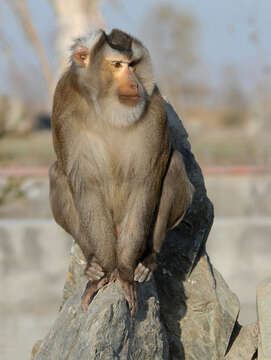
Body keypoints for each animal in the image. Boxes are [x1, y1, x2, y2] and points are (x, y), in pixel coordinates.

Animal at [50, 28, 194, 316]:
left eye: (133, 65)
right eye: (117, 65)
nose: (135, 83)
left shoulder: (155, 109)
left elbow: (146, 181)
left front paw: (125, 273)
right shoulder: (63, 102)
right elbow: (84, 184)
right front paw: (105, 272)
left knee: (173, 165)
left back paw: (146, 261)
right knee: (58, 174)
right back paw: (93, 264)